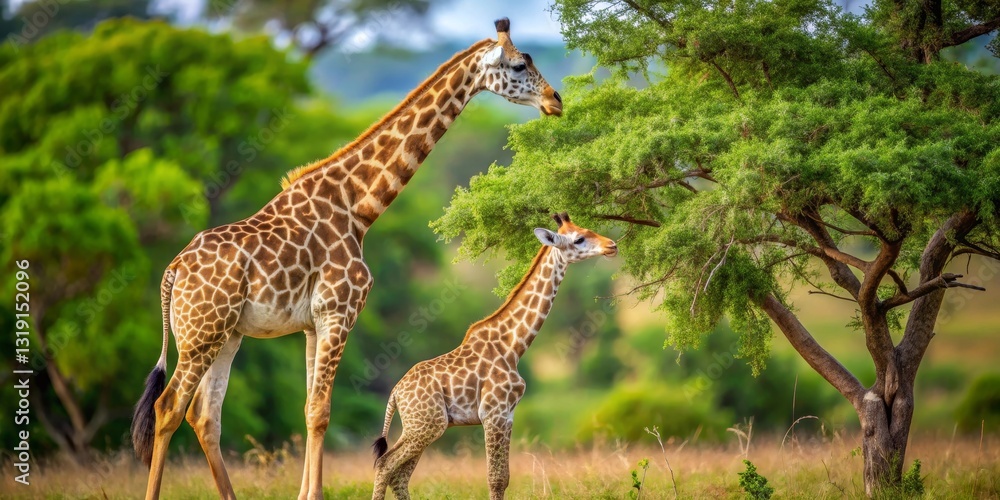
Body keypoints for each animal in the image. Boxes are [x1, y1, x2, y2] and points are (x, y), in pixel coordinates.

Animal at [129, 17, 562, 500]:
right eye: (519, 64)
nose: (555, 100)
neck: (359, 207)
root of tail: (172, 272)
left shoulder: (312, 322)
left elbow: (309, 408)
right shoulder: (339, 310)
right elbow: (321, 412)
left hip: (227, 334)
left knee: (204, 416)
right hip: (201, 335)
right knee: (169, 406)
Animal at [370, 213, 617, 500]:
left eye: (588, 229)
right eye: (578, 239)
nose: (612, 245)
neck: (513, 346)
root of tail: (395, 394)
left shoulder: (508, 414)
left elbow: (504, 477)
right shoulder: (493, 412)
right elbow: (495, 478)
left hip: (421, 426)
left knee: (399, 475)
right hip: (427, 425)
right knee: (385, 464)